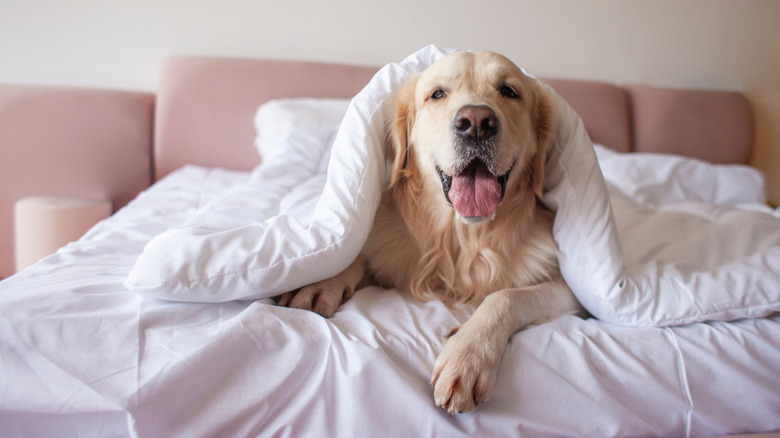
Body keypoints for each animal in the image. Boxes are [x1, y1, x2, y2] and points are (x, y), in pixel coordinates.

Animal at [278, 51, 580, 414]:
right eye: (438, 94)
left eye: (509, 91)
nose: (476, 122)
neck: (461, 240)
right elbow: (358, 257)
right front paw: (322, 282)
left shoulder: (571, 292)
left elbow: (505, 296)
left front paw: (468, 354)